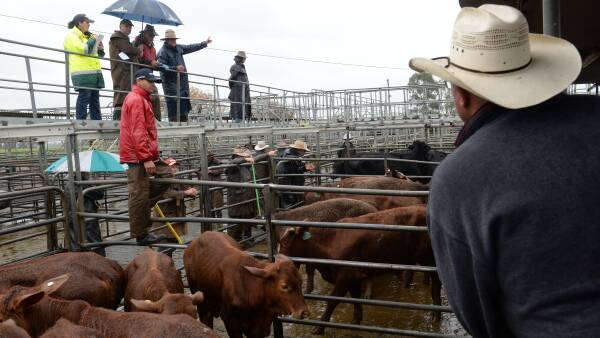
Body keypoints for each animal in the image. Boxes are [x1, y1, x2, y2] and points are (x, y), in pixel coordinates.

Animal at [278, 205, 440, 334]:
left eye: (285, 243)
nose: (278, 263)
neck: (330, 241)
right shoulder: (354, 278)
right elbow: (355, 299)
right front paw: (356, 320)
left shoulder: (345, 277)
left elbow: (332, 301)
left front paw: (319, 327)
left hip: (430, 260)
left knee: (436, 287)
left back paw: (436, 316)